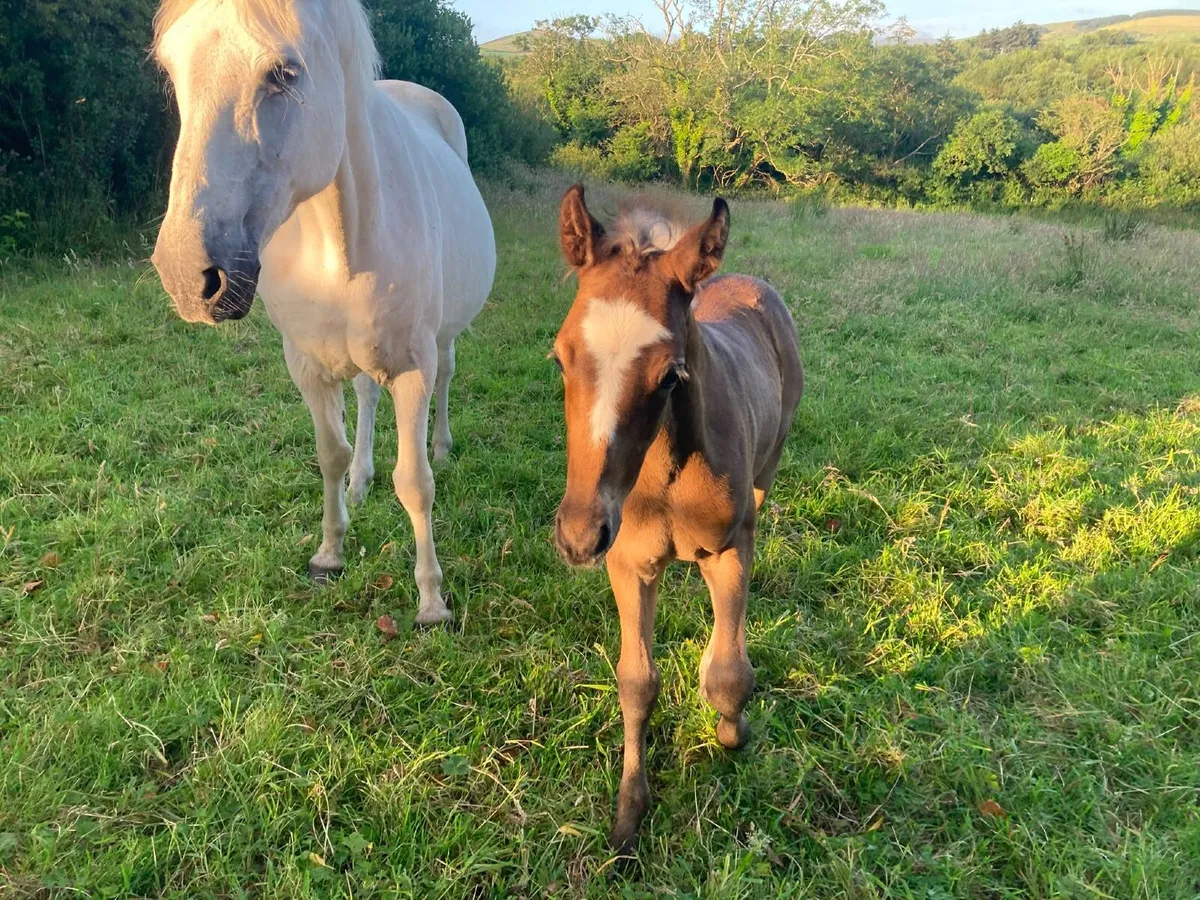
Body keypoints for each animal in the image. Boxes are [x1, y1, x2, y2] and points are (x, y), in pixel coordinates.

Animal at [150, 0, 496, 624]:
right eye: (172, 70)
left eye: (284, 73)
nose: (188, 278)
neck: (338, 242)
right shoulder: (307, 366)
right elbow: (329, 456)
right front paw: (330, 553)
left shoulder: (413, 367)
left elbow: (416, 483)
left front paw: (432, 601)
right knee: (364, 396)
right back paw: (362, 480)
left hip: (442, 341)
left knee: (447, 380)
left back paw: (442, 445)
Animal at [551, 185, 804, 851]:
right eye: (560, 358)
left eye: (669, 375)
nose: (579, 536)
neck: (662, 482)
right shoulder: (628, 561)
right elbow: (636, 683)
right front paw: (627, 816)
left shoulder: (729, 548)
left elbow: (729, 675)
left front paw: (732, 734)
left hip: (769, 468)